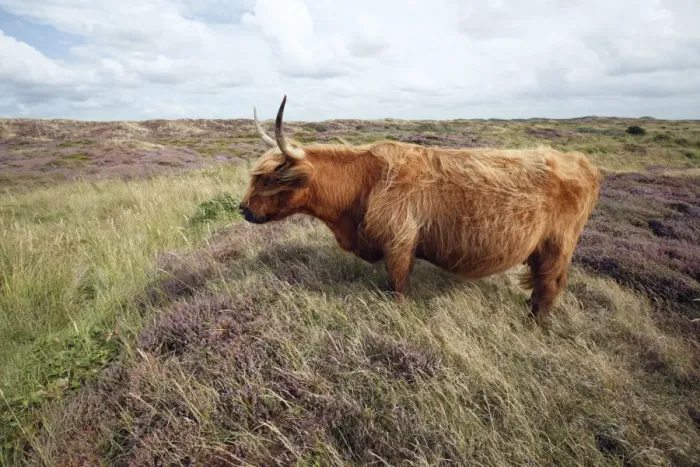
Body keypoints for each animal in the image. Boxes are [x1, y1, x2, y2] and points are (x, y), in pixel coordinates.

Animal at [239, 96, 601, 324]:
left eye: (271, 179)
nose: (243, 209)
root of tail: (582, 161)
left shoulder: (399, 244)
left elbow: (396, 287)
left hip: (556, 247)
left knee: (549, 287)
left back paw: (533, 323)